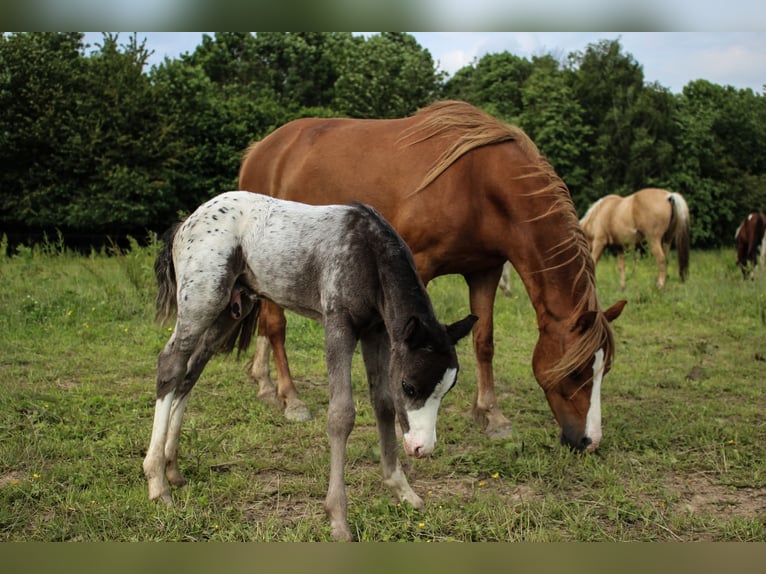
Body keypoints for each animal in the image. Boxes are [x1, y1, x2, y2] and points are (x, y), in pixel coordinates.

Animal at [242, 100, 632, 454]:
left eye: (605, 370)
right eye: (577, 372)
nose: (589, 442)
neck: (479, 184)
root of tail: (260, 150)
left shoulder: (485, 271)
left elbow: (484, 341)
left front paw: (491, 416)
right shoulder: (417, 267)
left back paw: (264, 384)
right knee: (275, 324)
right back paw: (290, 397)